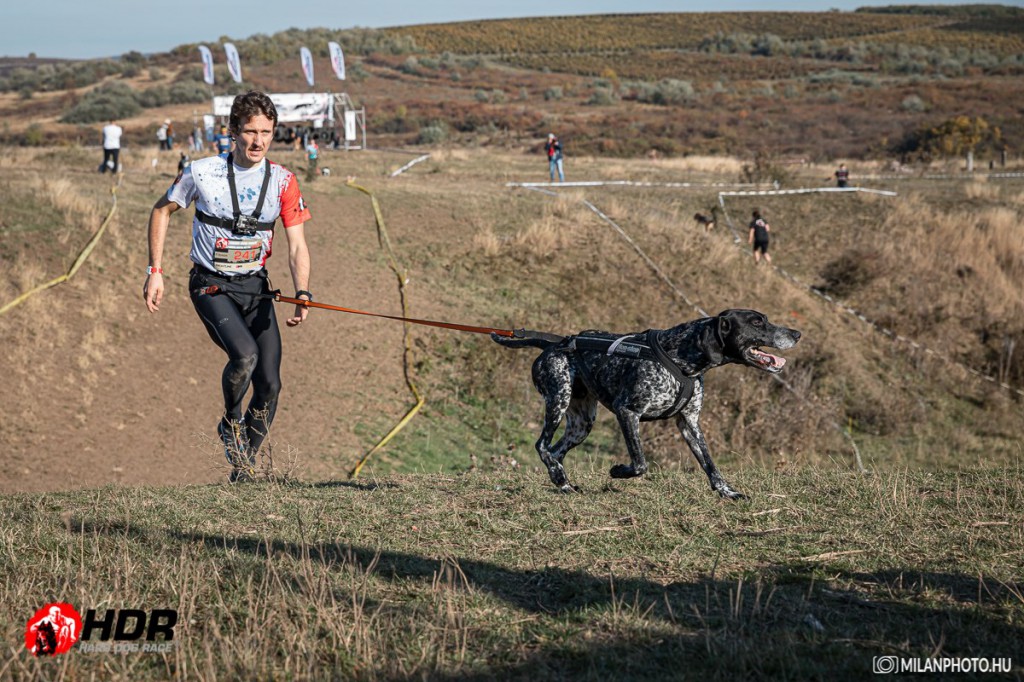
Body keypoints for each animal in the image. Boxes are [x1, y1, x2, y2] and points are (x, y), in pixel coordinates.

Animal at [493, 311, 798, 497]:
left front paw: (727, 492)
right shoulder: (627, 412)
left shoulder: (689, 423)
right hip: (558, 400)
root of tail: (553, 345)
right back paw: (559, 478)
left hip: (582, 423)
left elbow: (710, 464)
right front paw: (618, 471)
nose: (797, 334)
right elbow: (640, 463)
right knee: (542, 446)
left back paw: (564, 482)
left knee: (555, 451)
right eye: (756, 322)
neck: (681, 357)